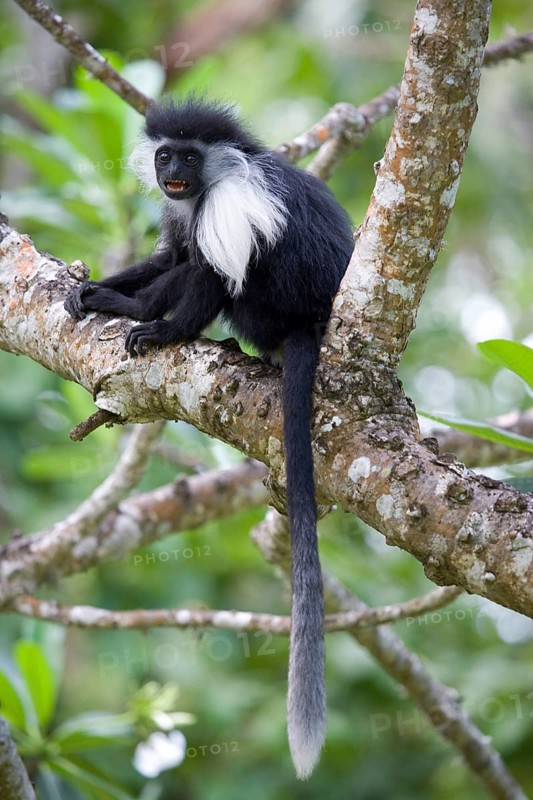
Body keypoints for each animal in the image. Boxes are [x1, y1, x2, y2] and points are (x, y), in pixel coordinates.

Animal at [64, 97, 354, 779]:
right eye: (166, 154)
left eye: (190, 157)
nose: (172, 172)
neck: (216, 177)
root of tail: (313, 322)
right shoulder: (182, 209)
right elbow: (168, 256)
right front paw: (91, 287)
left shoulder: (228, 205)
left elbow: (207, 273)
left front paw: (143, 318)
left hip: (268, 309)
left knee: (222, 274)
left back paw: (148, 320)